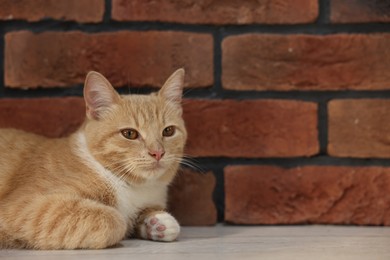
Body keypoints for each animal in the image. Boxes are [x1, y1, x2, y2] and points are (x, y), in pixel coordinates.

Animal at [0, 68, 187, 249]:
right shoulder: (26, 206)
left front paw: (157, 223)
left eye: (168, 131)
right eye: (129, 134)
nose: (158, 153)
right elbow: (113, 219)